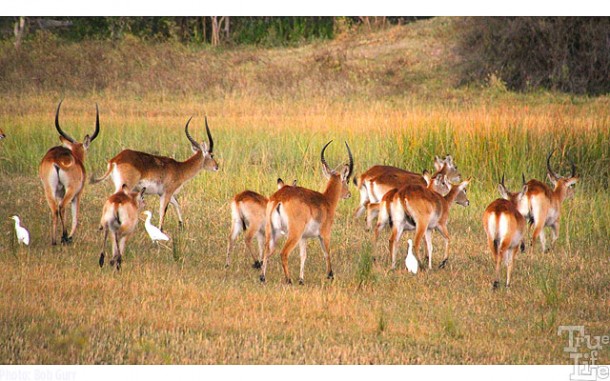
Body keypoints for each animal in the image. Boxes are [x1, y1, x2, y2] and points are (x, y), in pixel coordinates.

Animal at [37, 99, 99, 245]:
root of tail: (56, 160)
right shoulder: (78, 193)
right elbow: (76, 216)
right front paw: (70, 236)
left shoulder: (59, 192)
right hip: (71, 189)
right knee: (62, 207)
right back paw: (65, 237)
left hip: (49, 188)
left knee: (55, 209)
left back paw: (54, 241)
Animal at [260, 141, 354, 284]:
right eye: (347, 180)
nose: (349, 194)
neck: (326, 200)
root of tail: (280, 198)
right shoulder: (324, 234)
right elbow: (327, 252)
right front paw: (330, 275)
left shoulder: (304, 238)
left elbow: (303, 256)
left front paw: (301, 279)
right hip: (294, 233)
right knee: (283, 253)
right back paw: (288, 280)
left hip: (271, 230)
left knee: (266, 251)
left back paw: (262, 278)